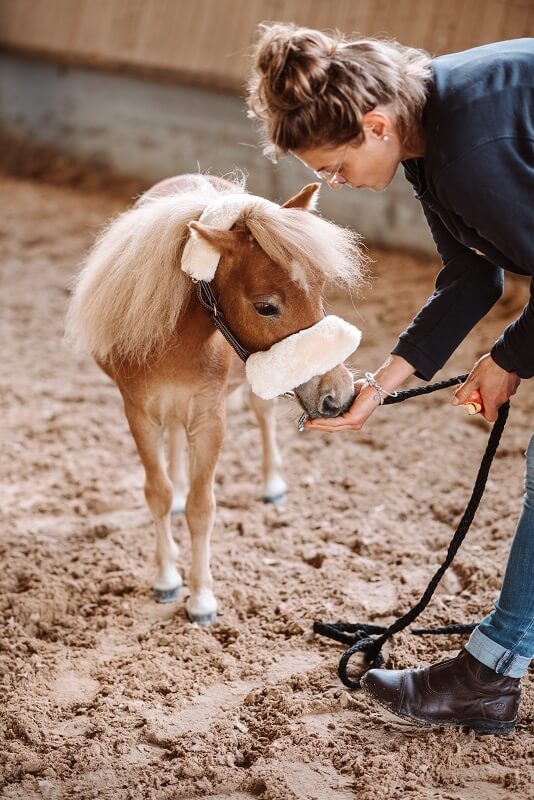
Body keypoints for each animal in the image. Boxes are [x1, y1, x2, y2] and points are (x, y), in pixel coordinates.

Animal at [67, 175, 366, 624]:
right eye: (266, 307)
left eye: (319, 290)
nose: (339, 395)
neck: (175, 341)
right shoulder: (139, 414)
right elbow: (157, 493)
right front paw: (167, 578)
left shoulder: (210, 420)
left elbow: (201, 507)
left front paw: (202, 598)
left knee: (262, 415)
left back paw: (272, 484)